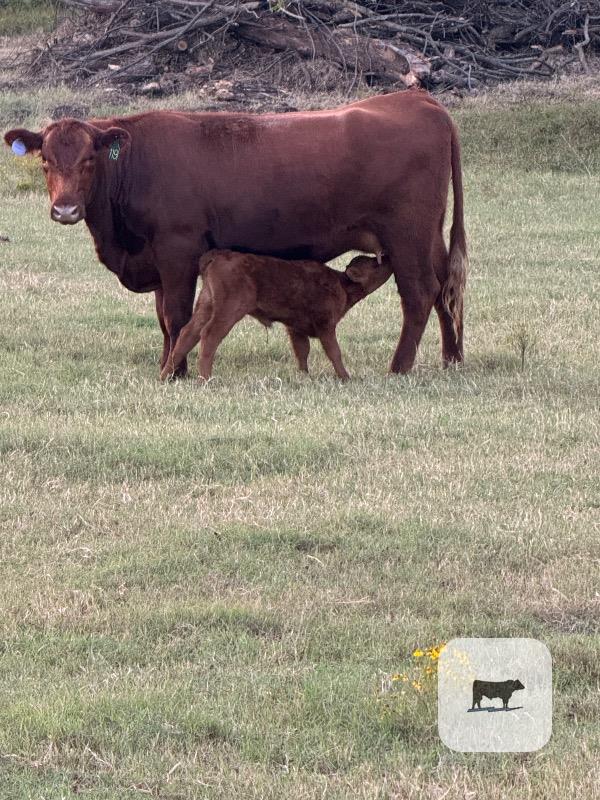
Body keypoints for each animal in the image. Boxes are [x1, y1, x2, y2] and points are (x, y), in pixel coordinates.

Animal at [160, 250, 392, 381]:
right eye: (374, 264)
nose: (386, 256)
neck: (340, 284)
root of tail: (216, 256)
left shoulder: (296, 327)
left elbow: (302, 351)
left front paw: (304, 375)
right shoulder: (325, 324)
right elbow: (334, 351)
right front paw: (345, 376)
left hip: (206, 304)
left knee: (188, 333)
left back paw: (164, 376)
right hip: (229, 309)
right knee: (209, 335)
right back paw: (205, 379)